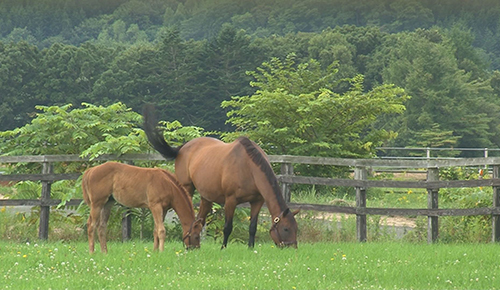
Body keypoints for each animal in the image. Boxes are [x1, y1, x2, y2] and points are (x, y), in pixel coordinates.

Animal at [143, 106, 298, 247]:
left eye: (296, 228)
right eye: (286, 228)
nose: (293, 248)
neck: (249, 168)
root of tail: (182, 148)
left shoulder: (257, 201)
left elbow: (252, 227)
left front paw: (251, 248)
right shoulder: (230, 201)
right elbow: (227, 227)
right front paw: (223, 248)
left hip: (206, 197)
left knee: (199, 219)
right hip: (187, 187)